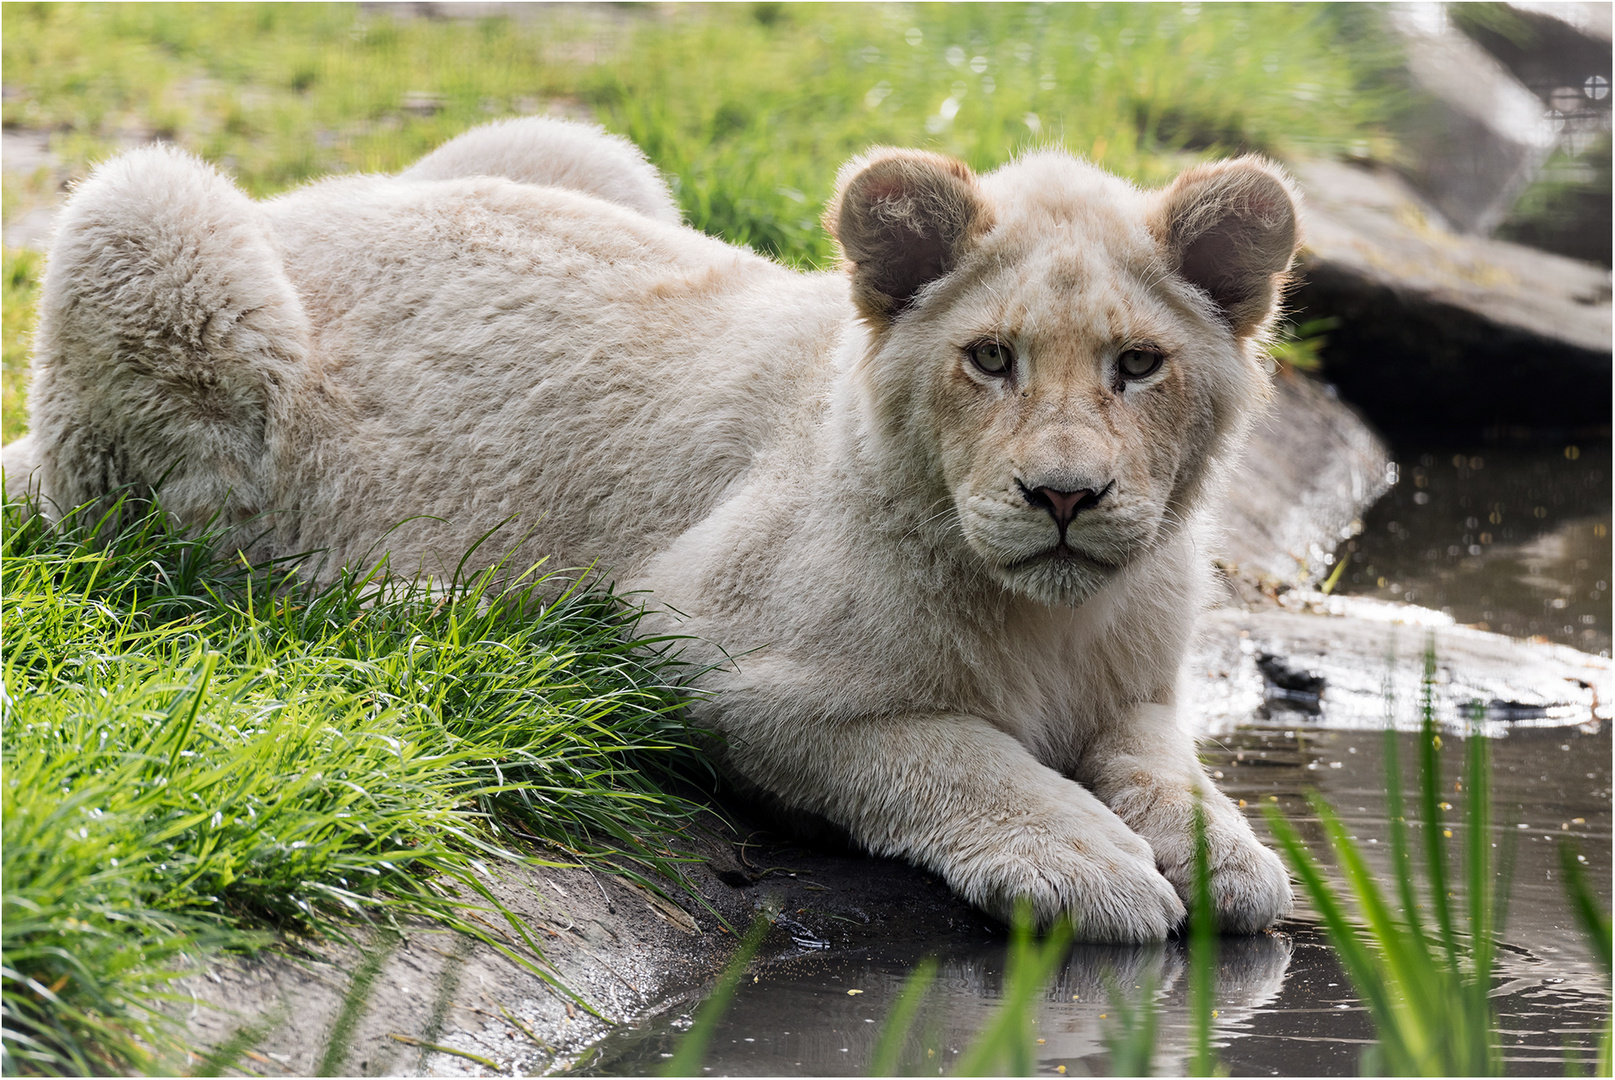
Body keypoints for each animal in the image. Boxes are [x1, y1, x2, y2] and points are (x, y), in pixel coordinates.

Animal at [0, 117, 1298, 936]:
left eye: (1139, 365)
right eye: (990, 359)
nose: (1066, 499)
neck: (1051, 619)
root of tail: (297, 204)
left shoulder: (1136, 684)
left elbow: (1167, 766)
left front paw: (1231, 858)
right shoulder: (694, 645)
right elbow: (940, 749)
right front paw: (1089, 865)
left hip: (583, 151)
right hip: (146, 217)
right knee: (161, 547)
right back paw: (418, 604)